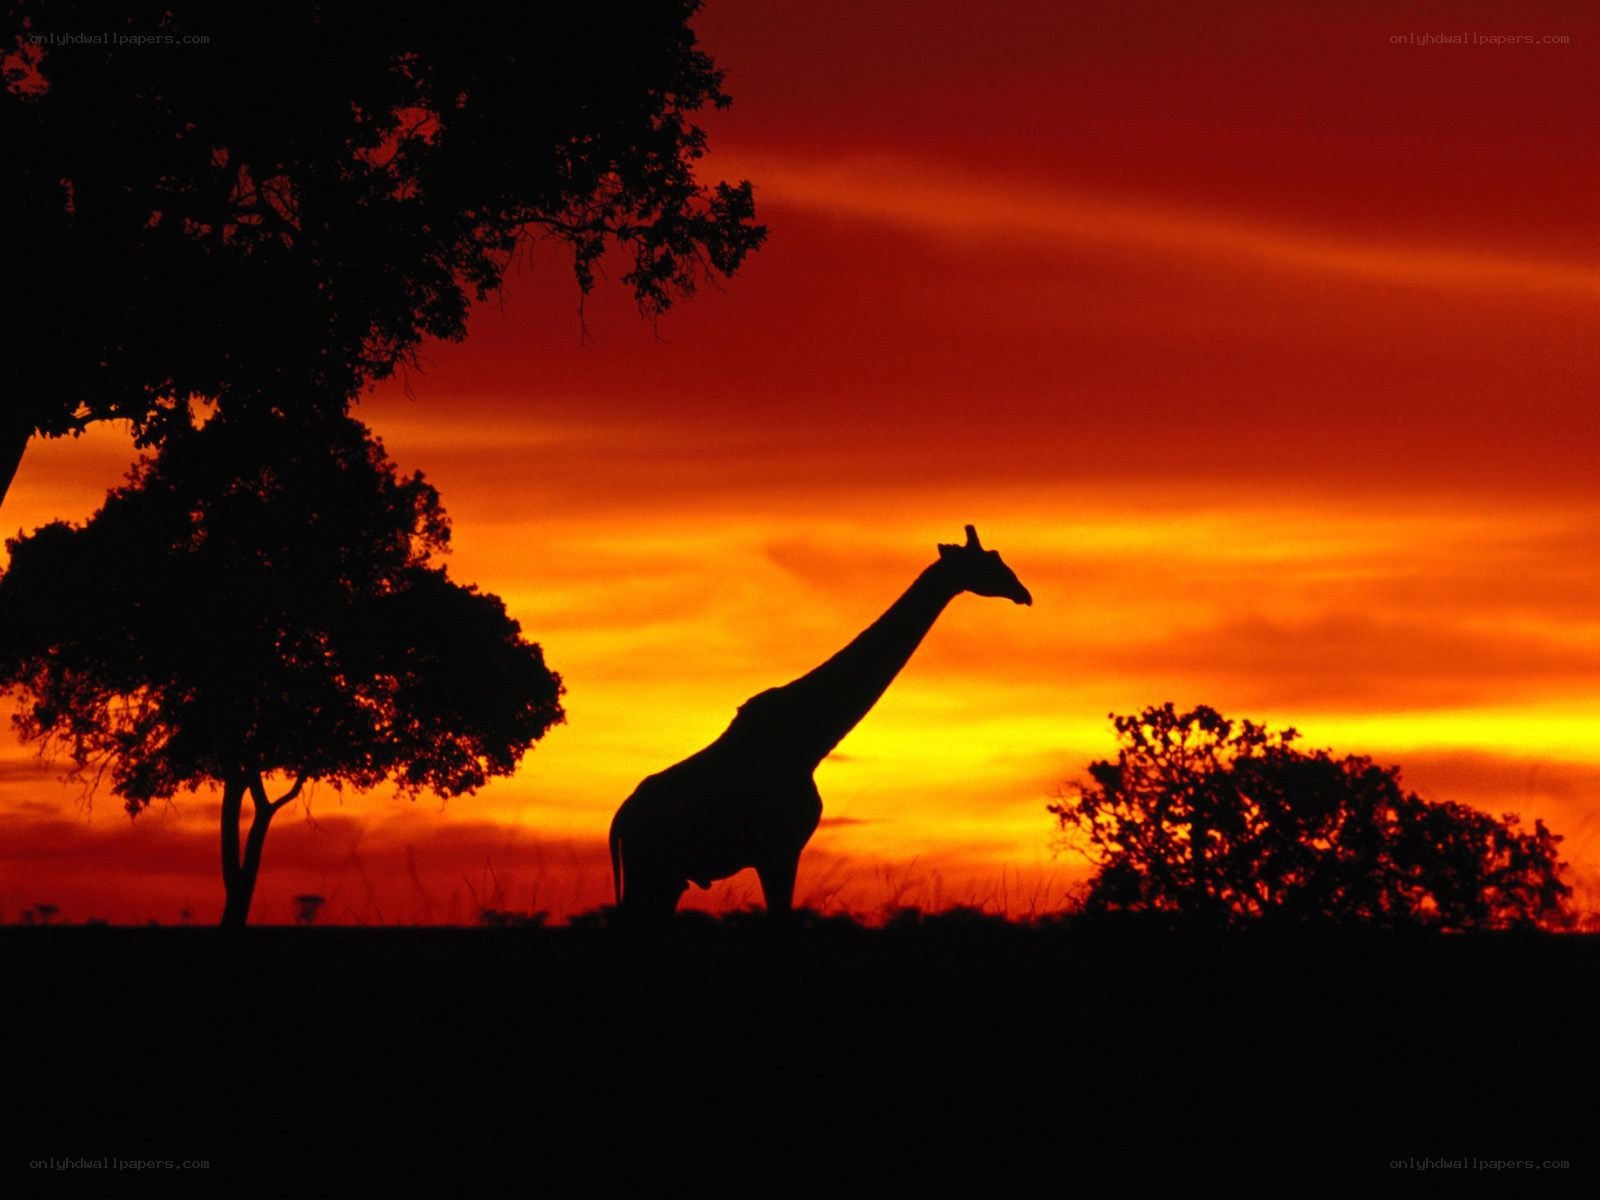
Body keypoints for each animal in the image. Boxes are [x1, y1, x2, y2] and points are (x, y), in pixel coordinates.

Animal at [609, 525, 1032, 920]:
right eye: (988, 562)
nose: (1023, 593)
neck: (808, 743)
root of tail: (619, 822)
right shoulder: (779, 849)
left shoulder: (778, 851)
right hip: (651, 869)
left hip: (669, 877)